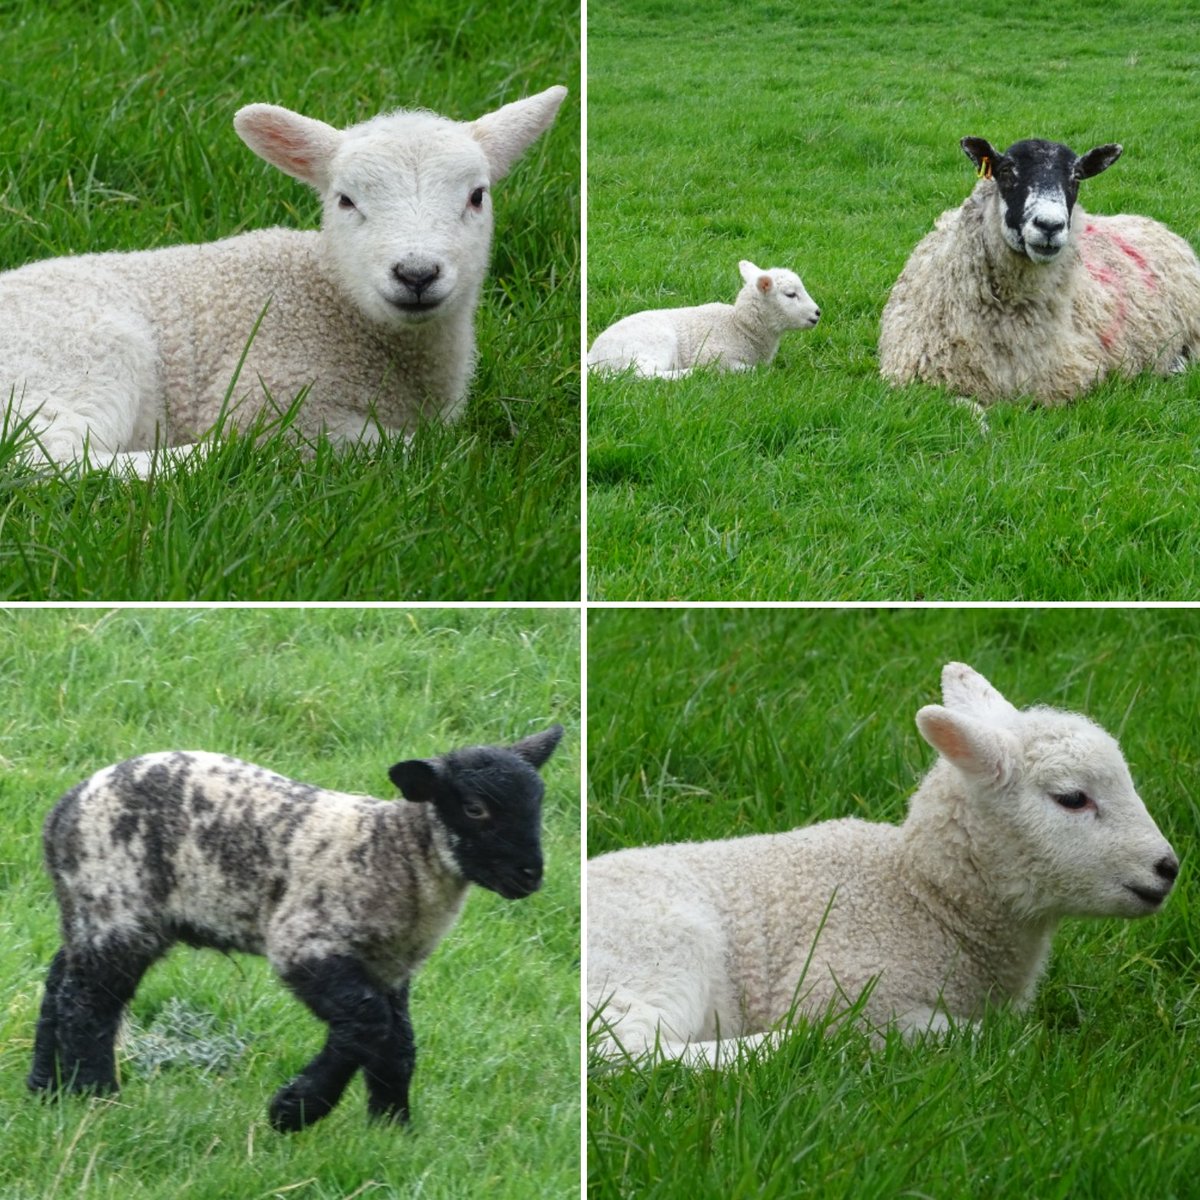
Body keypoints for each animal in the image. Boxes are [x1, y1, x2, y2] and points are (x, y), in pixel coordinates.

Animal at [0, 84, 566, 475]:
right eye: (345, 200)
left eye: (477, 196)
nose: (417, 273)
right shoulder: (272, 391)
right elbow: (403, 446)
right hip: (86, 362)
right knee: (49, 462)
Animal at [28, 720, 561, 1132]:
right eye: (475, 808)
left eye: (538, 805)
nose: (531, 875)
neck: (399, 851)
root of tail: (62, 812)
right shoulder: (305, 942)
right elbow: (369, 1023)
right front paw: (294, 1111)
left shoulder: (388, 965)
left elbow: (395, 1040)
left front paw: (391, 1128)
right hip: (117, 904)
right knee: (88, 1004)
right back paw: (95, 1097)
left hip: (86, 908)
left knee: (60, 982)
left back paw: (44, 1090)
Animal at [585, 259, 820, 379]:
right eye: (791, 294)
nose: (818, 313)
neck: (740, 327)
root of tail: (592, 359)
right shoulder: (712, 353)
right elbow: (749, 369)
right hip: (651, 345)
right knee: (641, 374)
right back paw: (689, 374)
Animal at [585, 662, 1176, 1065]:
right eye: (1072, 798)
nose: (1168, 869)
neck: (920, 897)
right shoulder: (847, 988)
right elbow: (971, 1036)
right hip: (660, 952)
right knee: (624, 1052)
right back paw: (776, 1047)